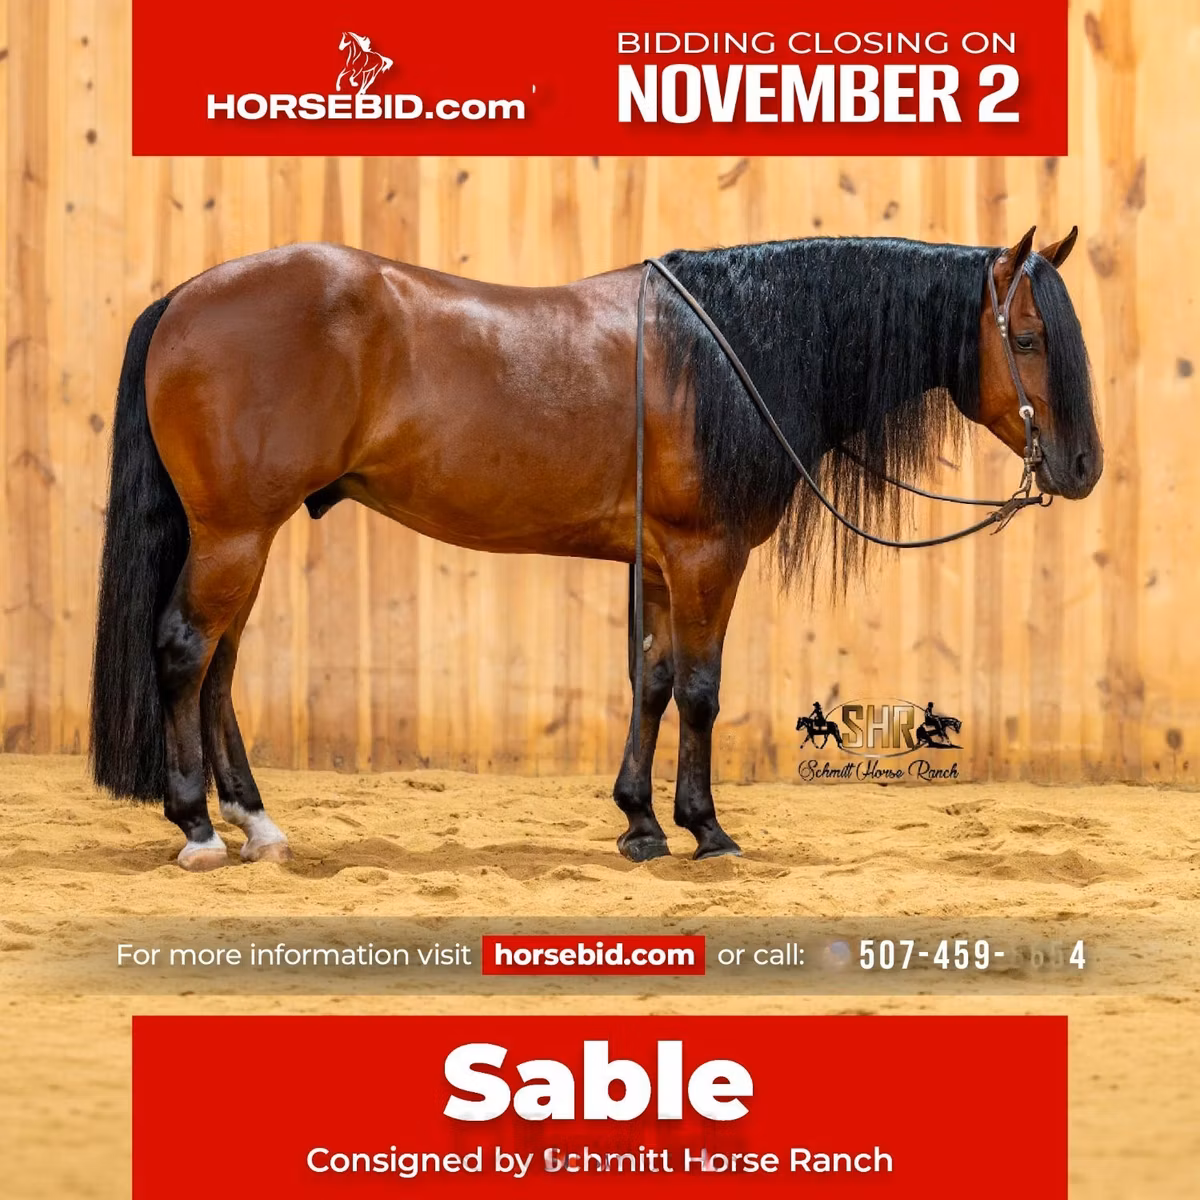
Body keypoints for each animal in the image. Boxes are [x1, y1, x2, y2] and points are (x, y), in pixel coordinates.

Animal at [89, 226, 1102, 871]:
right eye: (1025, 336)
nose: (1084, 467)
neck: (728, 353)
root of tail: (184, 298)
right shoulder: (706, 556)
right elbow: (699, 689)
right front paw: (705, 830)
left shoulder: (656, 563)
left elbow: (649, 681)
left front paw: (639, 825)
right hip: (234, 533)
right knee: (185, 651)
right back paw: (198, 829)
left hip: (246, 538)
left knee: (219, 667)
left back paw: (256, 825)